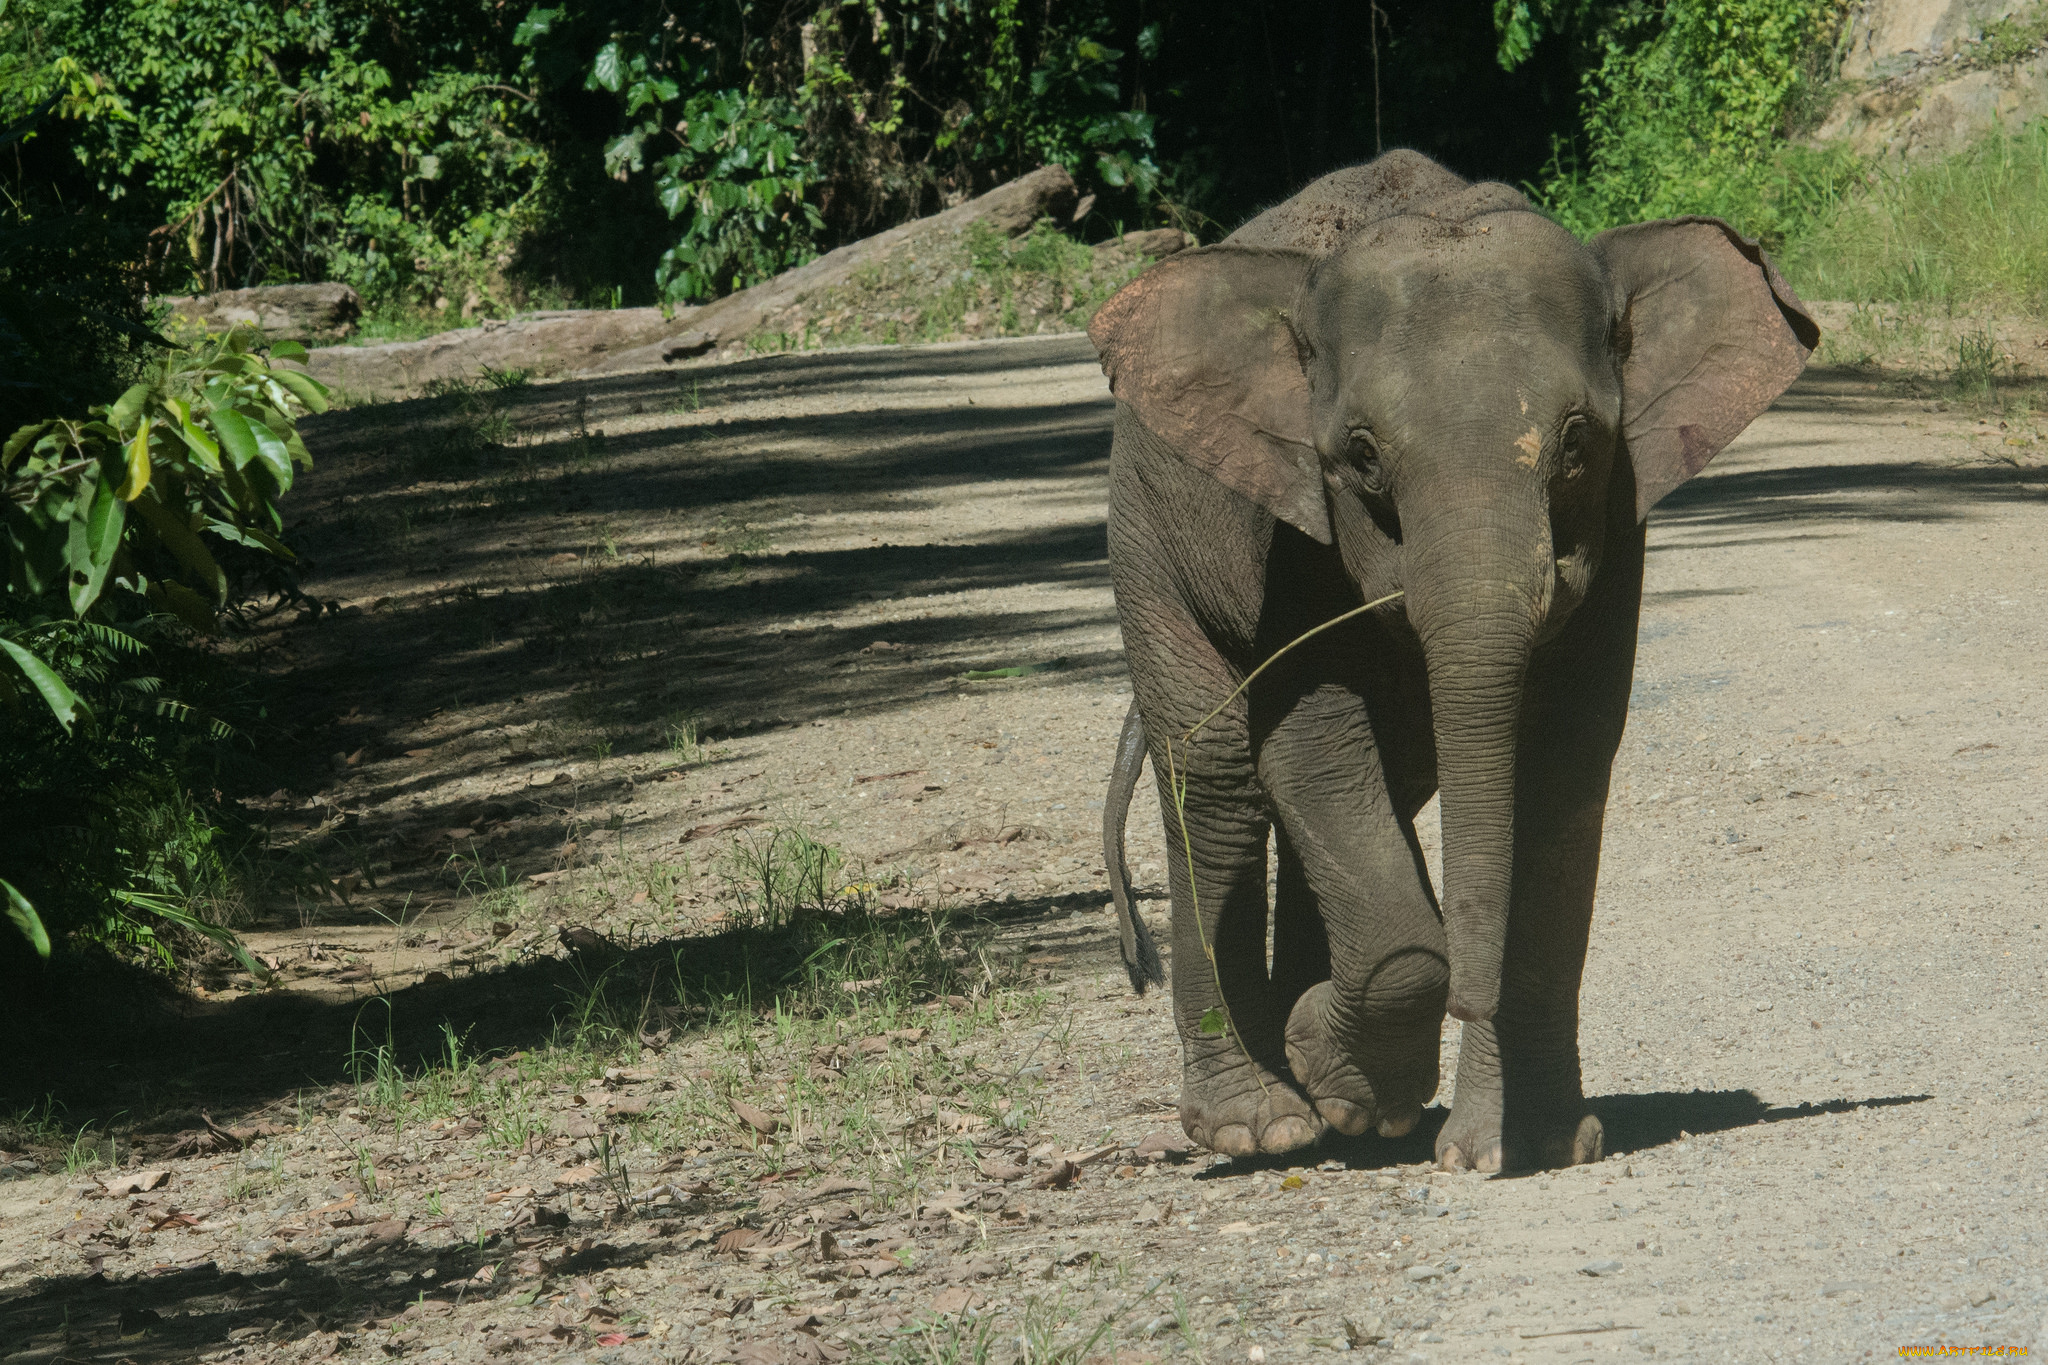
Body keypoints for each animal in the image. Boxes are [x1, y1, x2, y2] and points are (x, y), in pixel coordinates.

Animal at [1097, 149, 1818, 1178]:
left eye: (1575, 442)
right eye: (1360, 456)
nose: (1470, 1003)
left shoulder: (1620, 519)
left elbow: (1562, 758)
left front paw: (1526, 1143)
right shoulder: (1292, 534)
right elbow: (1312, 741)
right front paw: (1348, 1073)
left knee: (1380, 782)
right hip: (1147, 537)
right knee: (1222, 779)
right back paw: (1266, 1123)